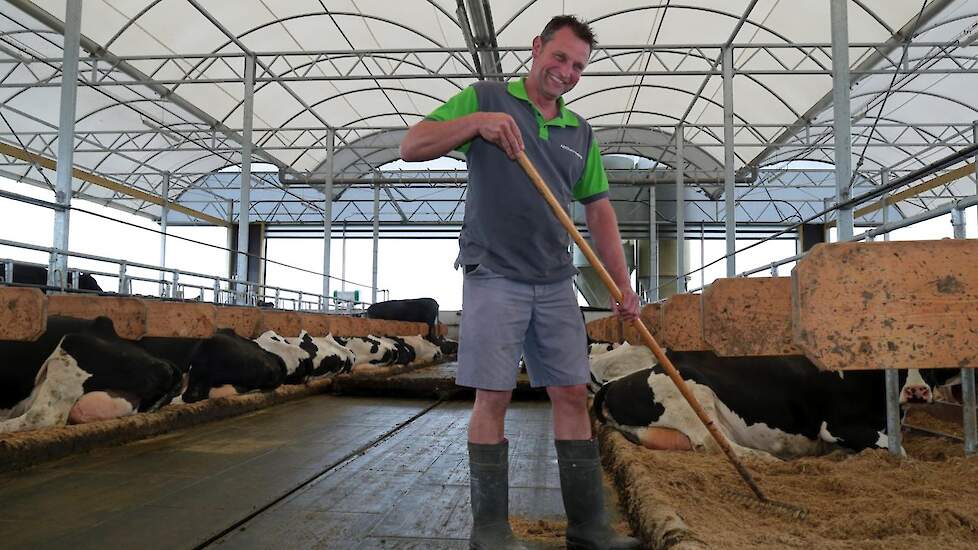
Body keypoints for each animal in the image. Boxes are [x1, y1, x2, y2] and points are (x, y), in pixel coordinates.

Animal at [592, 350, 948, 462]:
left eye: (931, 364)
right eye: (896, 364)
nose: (917, 391)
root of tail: (612, 384)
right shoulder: (836, 425)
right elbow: (902, 453)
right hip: (691, 395)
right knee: (720, 444)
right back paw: (770, 459)